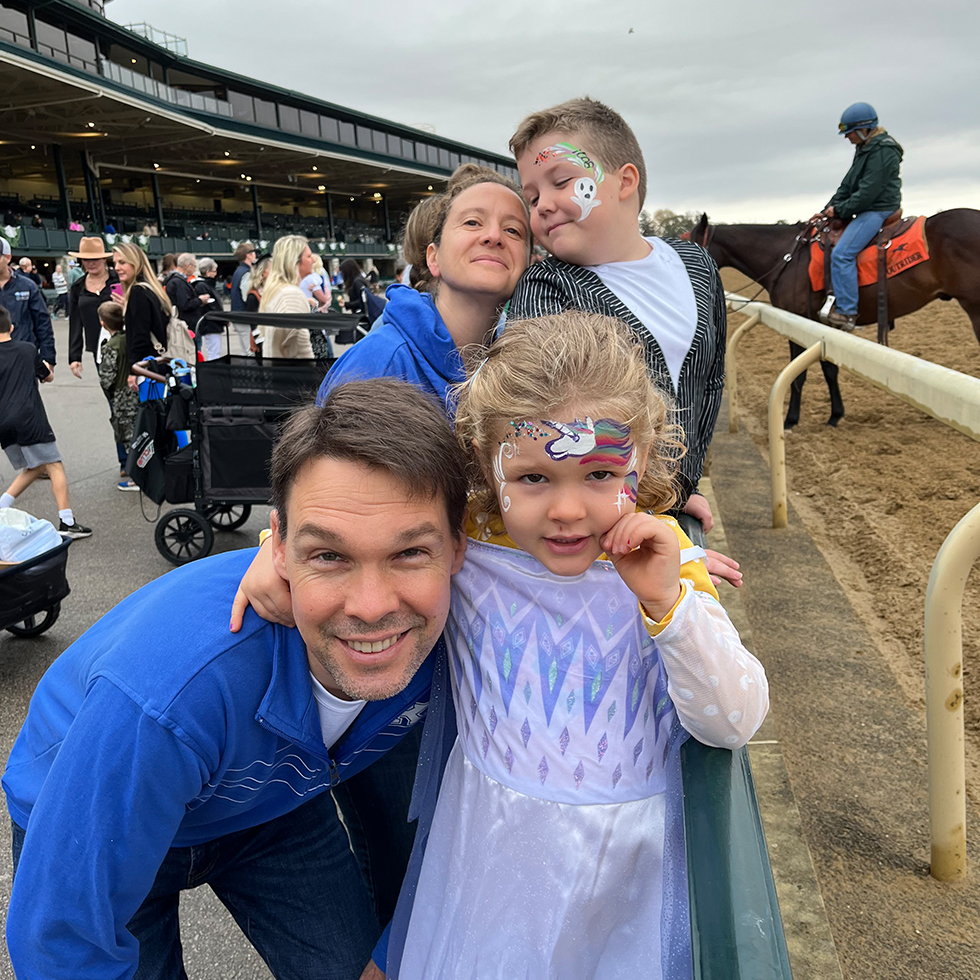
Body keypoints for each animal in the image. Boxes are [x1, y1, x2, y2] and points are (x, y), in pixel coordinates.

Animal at [692, 209, 980, 426]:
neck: (787, 257)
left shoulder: (800, 321)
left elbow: (800, 375)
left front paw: (791, 419)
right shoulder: (823, 328)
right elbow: (830, 370)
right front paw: (835, 415)